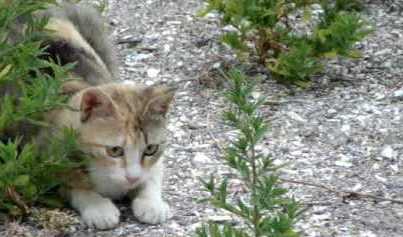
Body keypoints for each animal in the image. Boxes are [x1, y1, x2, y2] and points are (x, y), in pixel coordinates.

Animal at [19, 1, 174, 229]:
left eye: (150, 149)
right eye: (115, 150)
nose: (132, 179)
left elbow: (153, 174)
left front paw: (152, 204)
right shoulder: (44, 158)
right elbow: (74, 186)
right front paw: (99, 208)